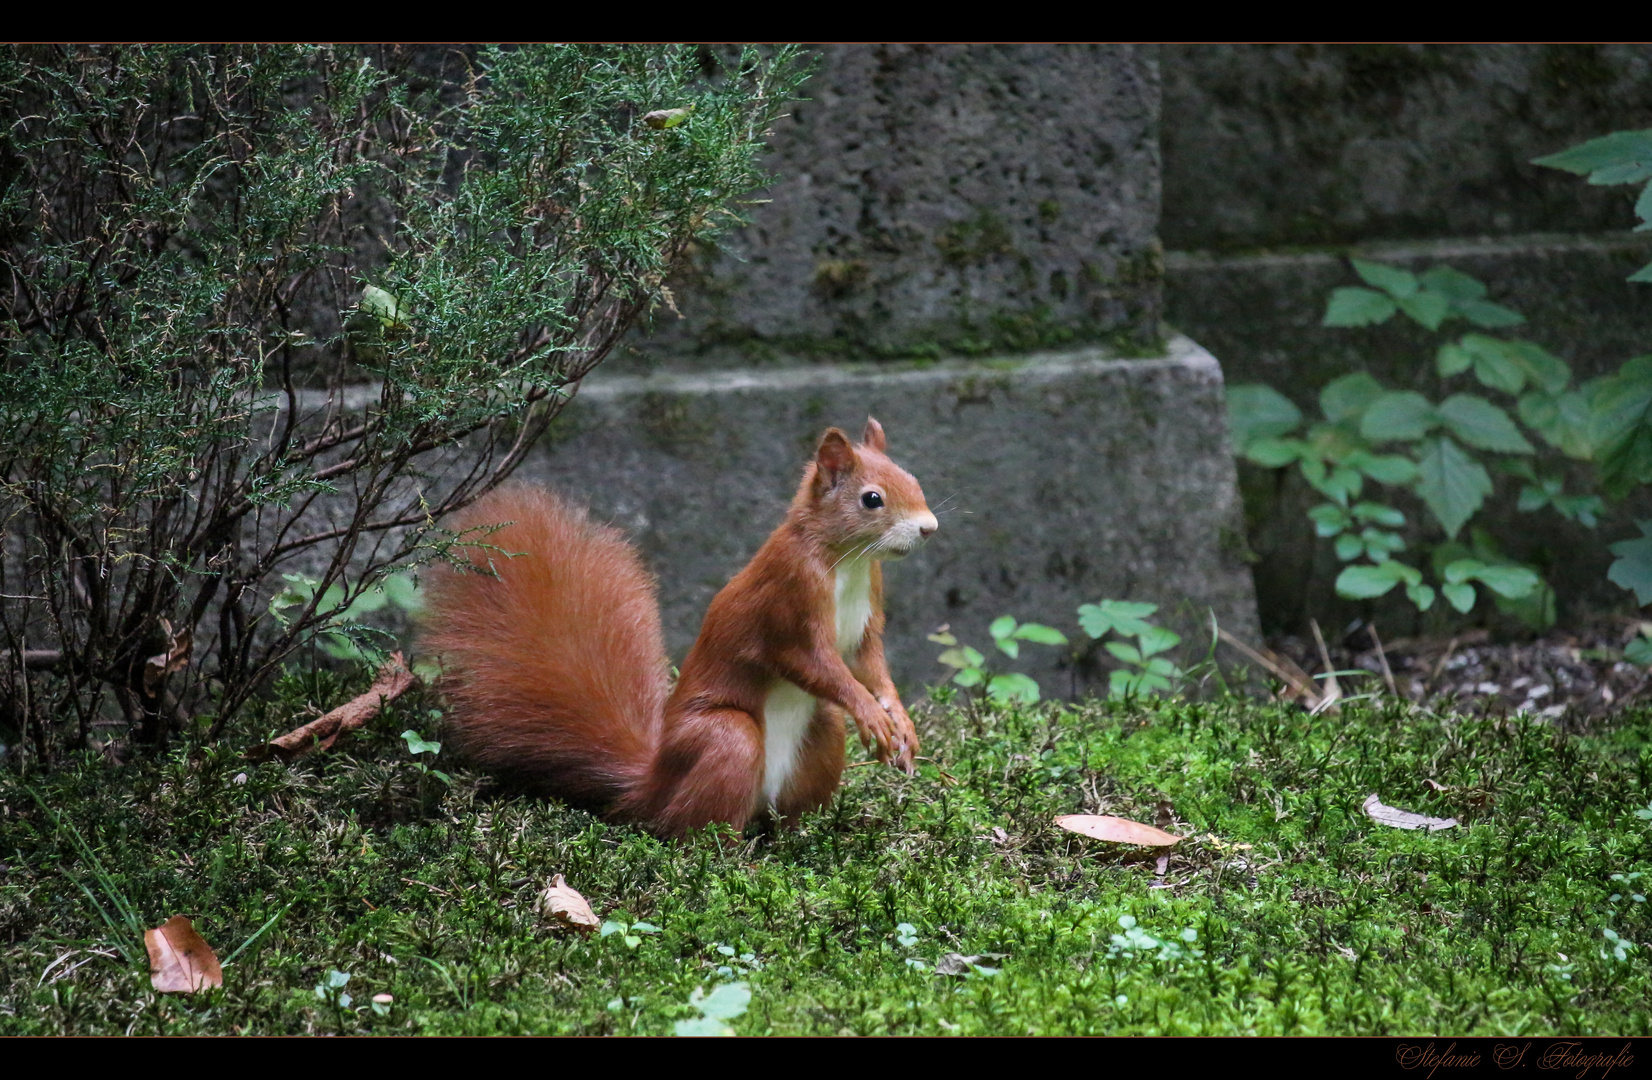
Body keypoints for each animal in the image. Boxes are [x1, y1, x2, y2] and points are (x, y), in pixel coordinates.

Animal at [419, 419, 938, 842]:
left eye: (915, 480)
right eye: (872, 499)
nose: (929, 528)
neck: (847, 561)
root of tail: (653, 784)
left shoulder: (868, 614)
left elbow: (871, 665)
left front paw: (900, 721)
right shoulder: (789, 602)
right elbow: (812, 663)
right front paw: (870, 713)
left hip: (817, 737)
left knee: (793, 786)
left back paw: (794, 840)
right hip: (724, 741)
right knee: (692, 828)